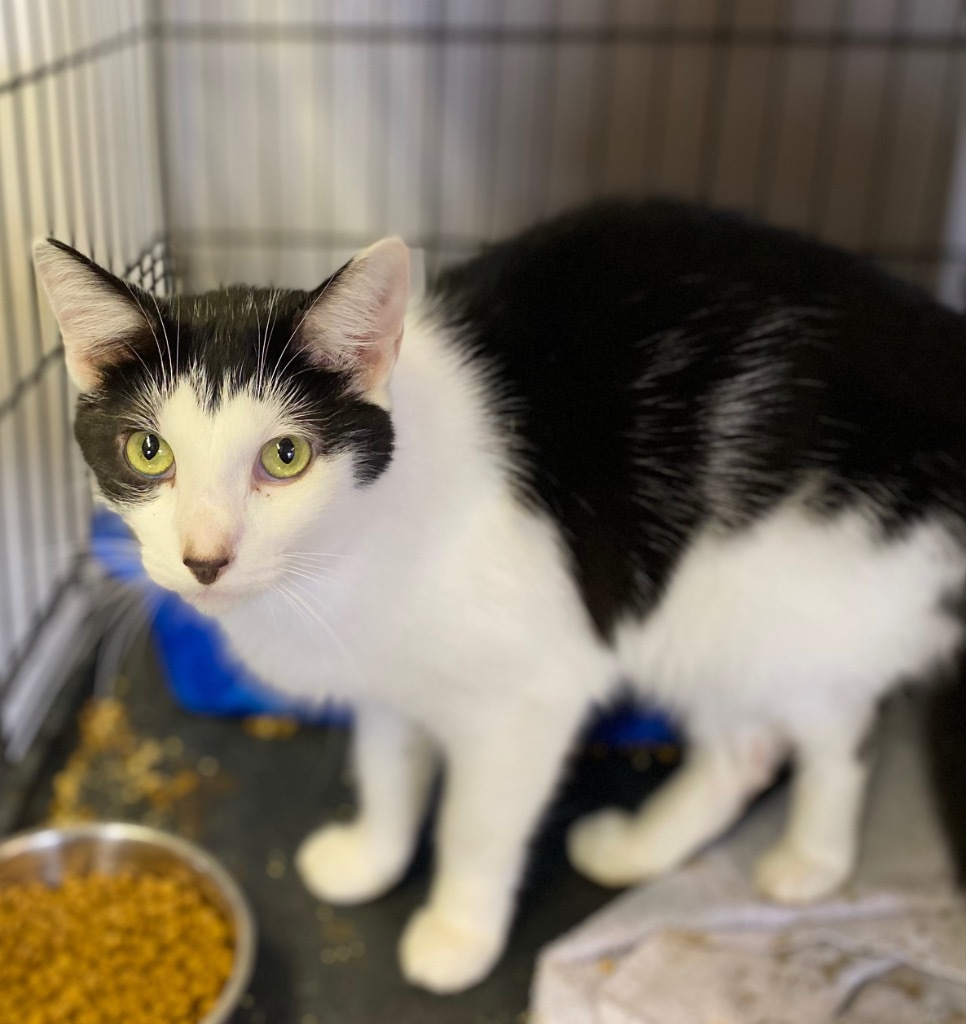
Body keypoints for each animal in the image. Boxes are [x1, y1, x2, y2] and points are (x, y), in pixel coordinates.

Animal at [32, 199, 966, 991]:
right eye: (148, 451)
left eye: (286, 456)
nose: (205, 558)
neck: (346, 558)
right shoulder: (386, 678)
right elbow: (388, 763)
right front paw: (372, 856)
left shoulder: (532, 691)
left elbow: (479, 824)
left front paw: (457, 933)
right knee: (746, 748)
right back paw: (635, 850)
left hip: (789, 588)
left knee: (838, 727)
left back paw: (812, 861)